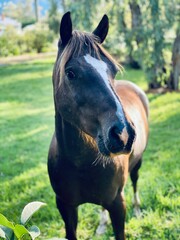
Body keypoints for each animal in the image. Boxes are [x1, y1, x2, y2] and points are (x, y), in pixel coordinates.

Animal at [47, 11, 149, 240]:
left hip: (137, 164)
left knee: (136, 181)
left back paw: (138, 210)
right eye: (71, 73)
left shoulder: (118, 204)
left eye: (112, 70)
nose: (123, 134)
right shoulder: (65, 207)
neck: (80, 164)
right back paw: (102, 224)